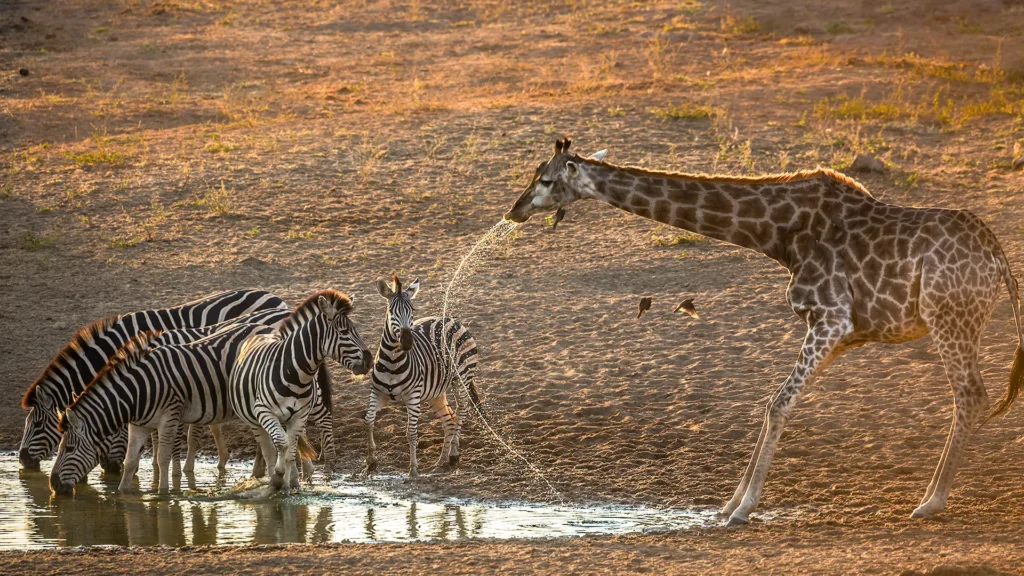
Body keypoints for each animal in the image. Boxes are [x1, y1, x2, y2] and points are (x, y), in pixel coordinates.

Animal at [49, 322, 274, 495]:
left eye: (69, 449)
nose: (53, 485)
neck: (138, 392)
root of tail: (267, 327)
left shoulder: (169, 417)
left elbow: (162, 457)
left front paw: (164, 493)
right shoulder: (138, 425)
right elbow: (130, 460)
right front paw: (123, 493)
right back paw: (259, 474)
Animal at [230, 290, 372, 493]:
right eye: (344, 332)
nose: (369, 361)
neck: (295, 374)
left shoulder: (299, 415)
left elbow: (290, 452)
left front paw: (290, 486)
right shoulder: (263, 411)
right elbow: (281, 445)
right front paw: (279, 478)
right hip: (254, 420)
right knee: (269, 450)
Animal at [365, 276, 482, 478]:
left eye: (412, 310)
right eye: (391, 311)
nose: (407, 342)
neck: (393, 362)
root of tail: (448, 319)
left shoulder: (413, 397)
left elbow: (411, 433)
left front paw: (413, 469)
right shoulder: (378, 392)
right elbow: (369, 420)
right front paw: (371, 461)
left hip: (461, 379)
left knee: (461, 412)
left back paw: (454, 454)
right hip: (435, 392)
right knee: (449, 420)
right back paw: (441, 461)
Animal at [504, 138, 1024, 524]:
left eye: (545, 179)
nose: (514, 211)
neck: (778, 232)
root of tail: (998, 259)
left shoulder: (831, 318)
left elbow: (777, 404)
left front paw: (742, 507)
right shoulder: (841, 333)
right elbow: (774, 402)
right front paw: (730, 503)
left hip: (949, 316)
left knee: (971, 395)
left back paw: (931, 501)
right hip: (956, 321)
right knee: (972, 396)